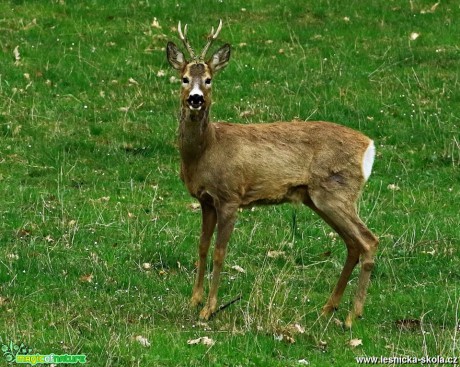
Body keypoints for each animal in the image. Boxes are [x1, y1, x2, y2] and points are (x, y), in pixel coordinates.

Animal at [165, 20, 378, 328]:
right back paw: (328, 309)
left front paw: (209, 308)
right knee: (353, 243)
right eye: (183, 78)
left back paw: (352, 316)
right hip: (319, 198)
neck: (208, 150)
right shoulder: (206, 200)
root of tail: (369, 146)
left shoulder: (230, 196)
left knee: (369, 241)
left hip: (336, 191)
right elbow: (202, 247)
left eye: (208, 79)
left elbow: (219, 252)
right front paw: (194, 301)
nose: (195, 99)